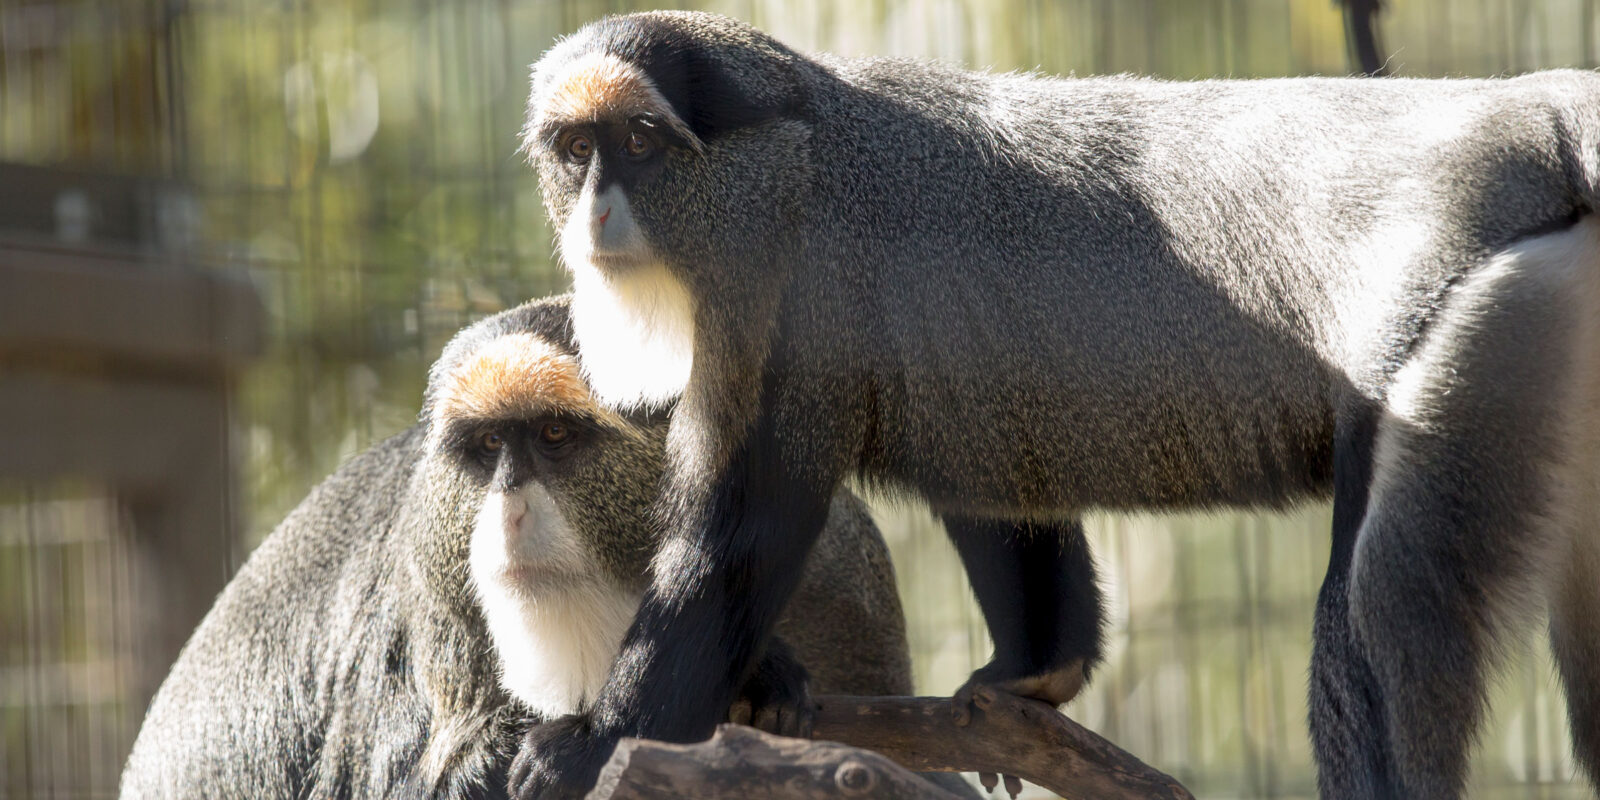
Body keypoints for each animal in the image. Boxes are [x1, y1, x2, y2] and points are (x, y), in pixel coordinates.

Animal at [512, 11, 1600, 800]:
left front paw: (589, 745)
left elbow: (743, 539)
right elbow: (989, 466)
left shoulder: (792, 312)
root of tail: (1533, 111)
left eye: (641, 142)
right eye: (574, 148)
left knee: (1370, 617)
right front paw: (1034, 670)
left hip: (1472, 333)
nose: (598, 210)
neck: (802, 150)